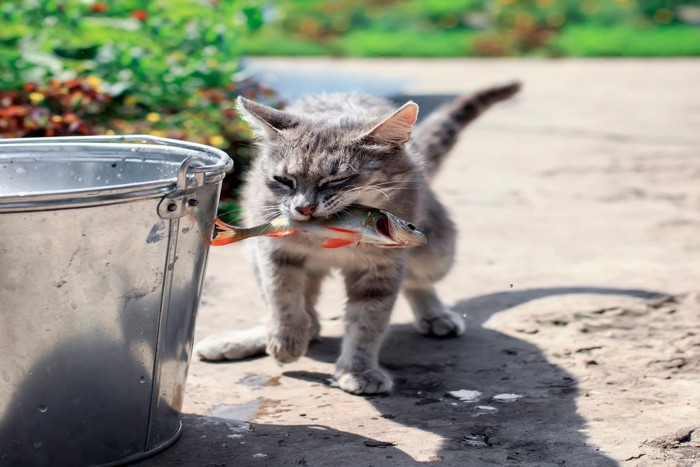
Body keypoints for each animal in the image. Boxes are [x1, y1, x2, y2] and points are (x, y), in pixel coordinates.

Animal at [194, 83, 524, 394]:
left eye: (337, 180)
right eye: (284, 180)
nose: (303, 208)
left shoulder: (381, 267)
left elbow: (367, 322)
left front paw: (358, 370)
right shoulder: (276, 251)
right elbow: (282, 297)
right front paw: (286, 339)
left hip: (438, 253)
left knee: (418, 282)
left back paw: (434, 314)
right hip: (253, 255)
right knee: (307, 319)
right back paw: (253, 338)